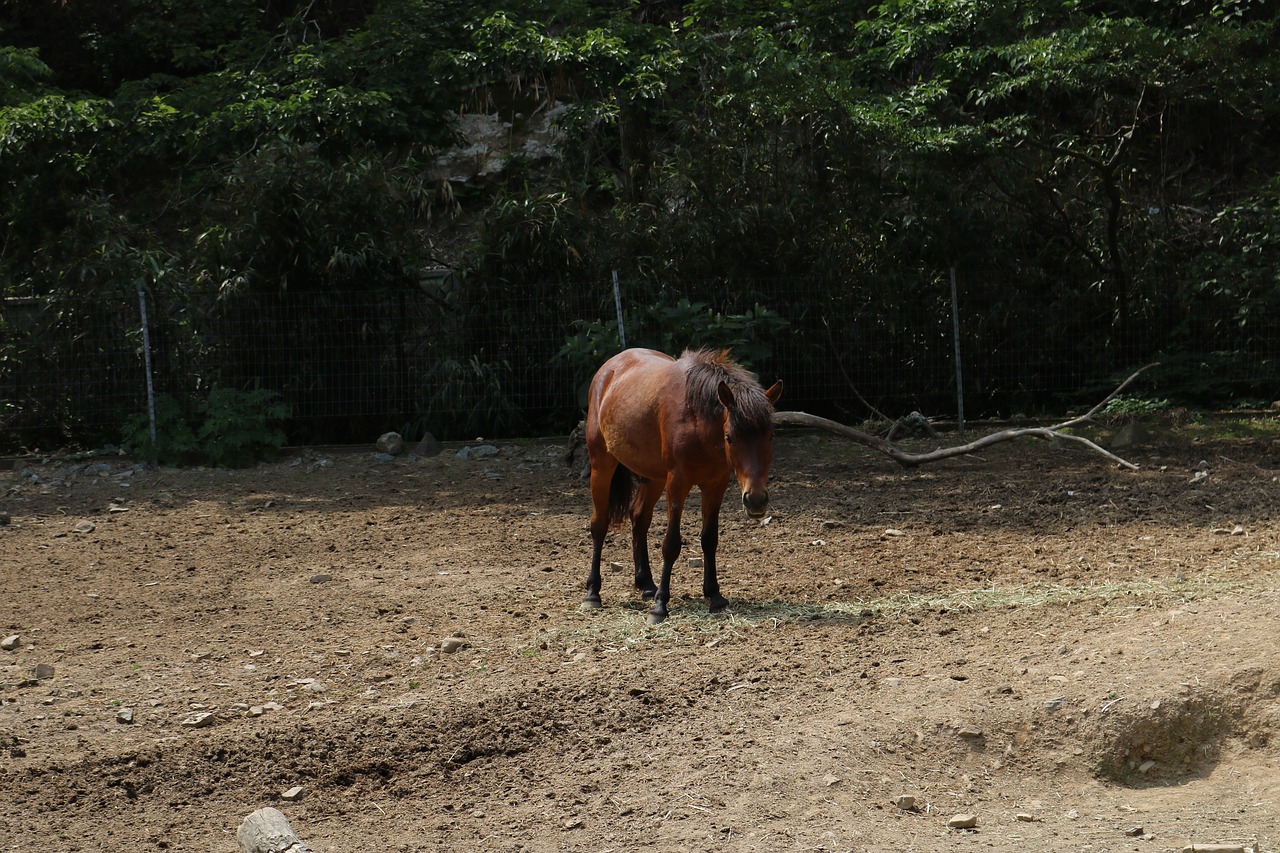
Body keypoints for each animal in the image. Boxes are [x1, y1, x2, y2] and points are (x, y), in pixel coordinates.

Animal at [581, 348, 778, 625]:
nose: (757, 500)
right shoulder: (677, 483)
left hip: (653, 478)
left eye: (770, 436)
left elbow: (709, 539)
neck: (698, 423)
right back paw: (593, 593)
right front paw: (660, 606)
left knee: (639, 518)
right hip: (602, 466)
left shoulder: (715, 486)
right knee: (599, 524)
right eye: (729, 437)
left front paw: (714, 596)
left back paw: (646, 585)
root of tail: (609, 368)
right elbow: (671, 544)